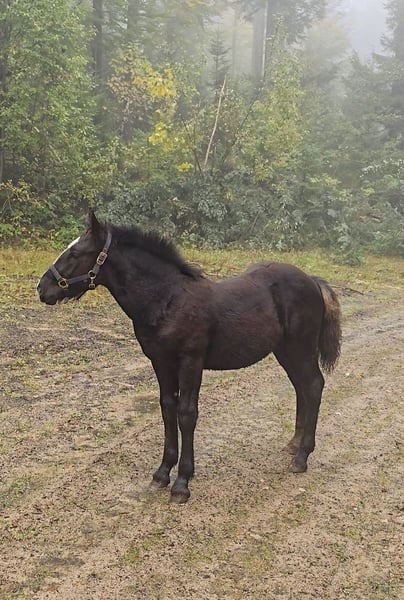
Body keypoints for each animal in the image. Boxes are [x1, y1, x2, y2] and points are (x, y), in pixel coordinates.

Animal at [37, 209, 342, 504]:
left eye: (76, 253)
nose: (42, 288)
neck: (167, 299)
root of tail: (312, 281)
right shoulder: (160, 362)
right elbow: (167, 408)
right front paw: (162, 474)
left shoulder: (191, 361)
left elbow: (186, 414)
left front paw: (182, 483)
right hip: (285, 351)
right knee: (301, 388)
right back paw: (294, 444)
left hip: (301, 347)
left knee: (313, 386)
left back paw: (301, 457)